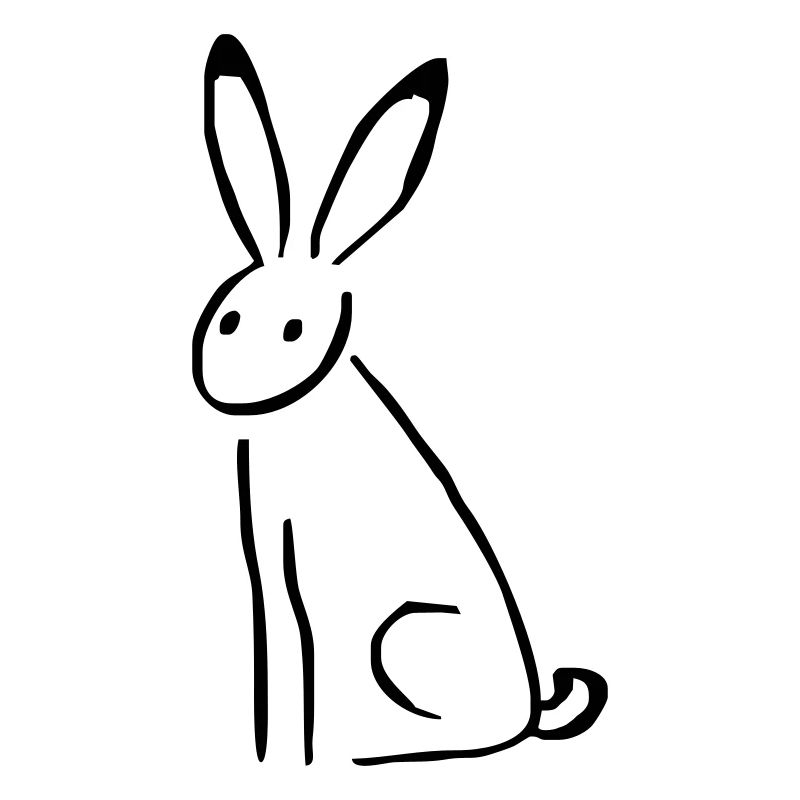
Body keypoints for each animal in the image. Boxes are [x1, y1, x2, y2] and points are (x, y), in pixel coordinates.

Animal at [192, 33, 607, 767]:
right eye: (230, 320)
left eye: (294, 329)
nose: (227, 385)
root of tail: (533, 707)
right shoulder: (265, 551)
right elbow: (273, 642)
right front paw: (268, 753)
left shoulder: (321, 560)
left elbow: (313, 646)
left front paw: (308, 757)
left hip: (404, 635)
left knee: (478, 736)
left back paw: (384, 750)